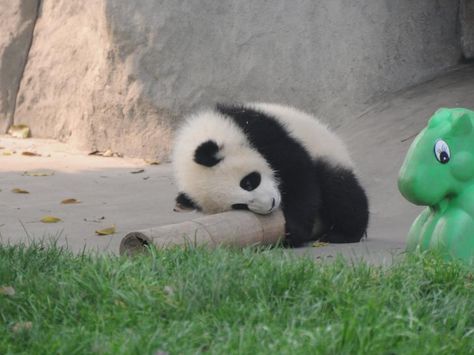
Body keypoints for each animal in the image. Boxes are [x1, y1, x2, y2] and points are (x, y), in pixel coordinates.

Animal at [173, 103, 370, 248]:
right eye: (239, 206)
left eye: (248, 183)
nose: (270, 204)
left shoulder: (262, 134)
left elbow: (299, 176)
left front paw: (295, 232)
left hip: (327, 150)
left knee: (339, 189)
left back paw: (344, 234)